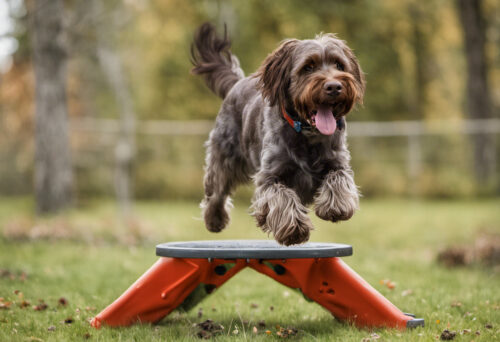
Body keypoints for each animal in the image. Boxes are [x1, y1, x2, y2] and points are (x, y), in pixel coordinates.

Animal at [190, 22, 364, 246]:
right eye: (308, 67)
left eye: (339, 65)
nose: (334, 86)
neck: (306, 134)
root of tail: (237, 83)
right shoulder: (269, 176)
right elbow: (281, 197)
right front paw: (295, 229)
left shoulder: (338, 161)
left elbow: (339, 178)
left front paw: (336, 207)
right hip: (225, 156)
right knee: (216, 191)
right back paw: (215, 219)